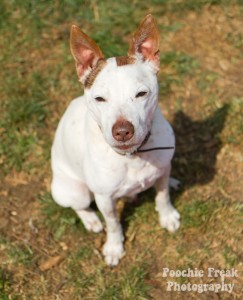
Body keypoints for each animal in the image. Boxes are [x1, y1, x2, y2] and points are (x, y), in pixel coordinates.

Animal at [50, 15, 180, 266]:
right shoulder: (105, 200)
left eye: (141, 94)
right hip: (75, 192)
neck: (134, 156)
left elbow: (162, 197)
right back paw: (91, 220)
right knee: (79, 207)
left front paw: (167, 215)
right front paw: (114, 247)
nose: (122, 131)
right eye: (99, 98)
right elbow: (112, 223)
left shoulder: (162, 168)